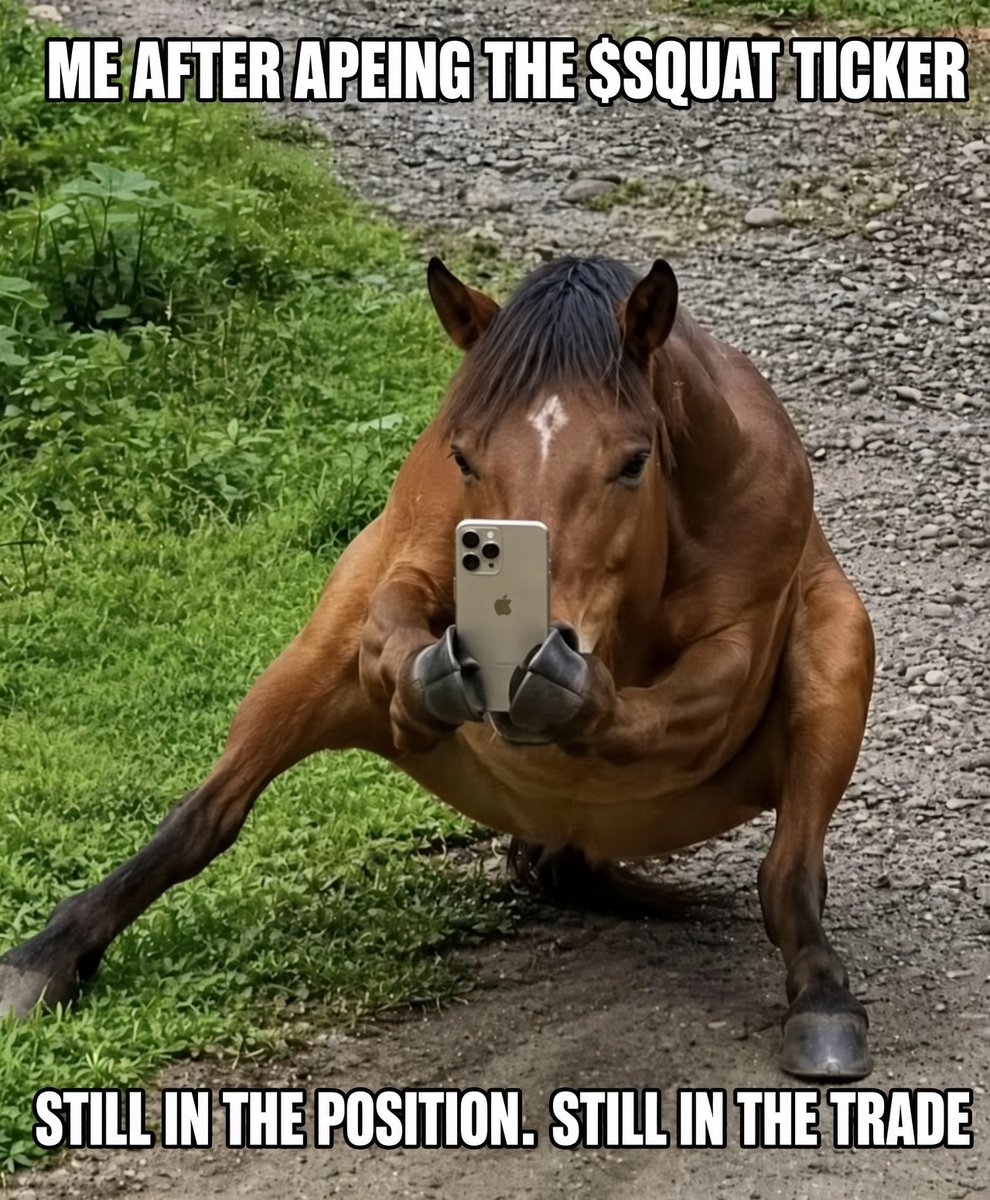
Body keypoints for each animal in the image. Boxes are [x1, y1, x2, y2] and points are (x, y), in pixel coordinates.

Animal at [0, 255, 875, 1080]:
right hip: (307, 669)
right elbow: (394, 613)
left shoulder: (738, 647)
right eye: (464, 456)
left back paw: (824, 1000)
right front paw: (438, 674)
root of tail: (565, 832)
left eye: (634, 463)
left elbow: (688, 700)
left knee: (788, 874)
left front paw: (567, 690)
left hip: (842, 649)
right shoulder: (410, 553)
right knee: (205, 816)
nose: (535, 642)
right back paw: (42, 960)